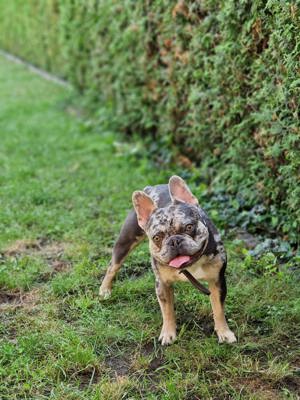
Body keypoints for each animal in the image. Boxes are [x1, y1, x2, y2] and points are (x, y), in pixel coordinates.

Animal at [100, 177, 237, 346]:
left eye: (189, 227)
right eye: (157, 238)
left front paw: (224, 332)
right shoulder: (162, 284)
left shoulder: (217, 281)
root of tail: (152, 186)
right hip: (126, 241)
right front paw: (168, 334)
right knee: (113, 266)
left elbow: (218, 309)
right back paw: (105, 289)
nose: (174, 241)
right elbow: (167, 311)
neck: (191, 265)